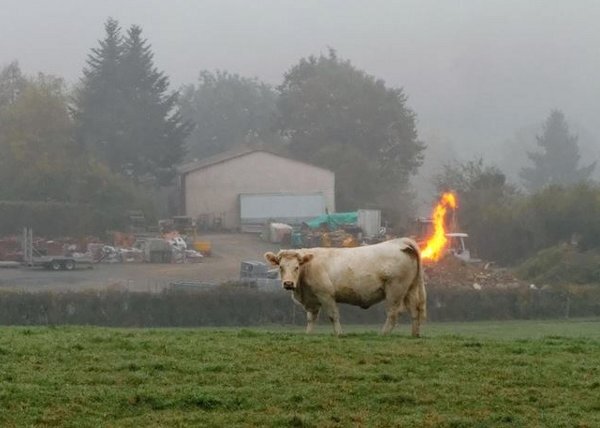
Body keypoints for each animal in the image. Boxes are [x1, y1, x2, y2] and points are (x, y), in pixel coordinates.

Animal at [264, 236, 426, 336]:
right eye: (280, 267)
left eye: (296, 267)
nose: (288, 283)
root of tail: (401, 242)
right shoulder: (312, 299)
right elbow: (311, 318)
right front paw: (308, 334)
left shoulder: (326, 295)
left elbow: (333, 315)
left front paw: (339, 334)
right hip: (409, 289)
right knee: (414, 311)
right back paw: (415, 335)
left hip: (395, 290)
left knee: (393, 313)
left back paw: (383, 334)